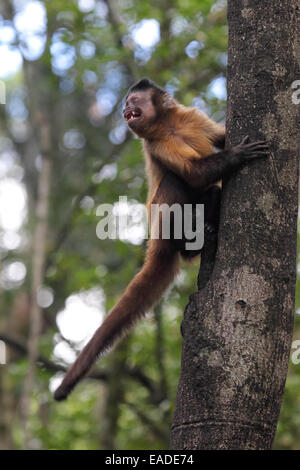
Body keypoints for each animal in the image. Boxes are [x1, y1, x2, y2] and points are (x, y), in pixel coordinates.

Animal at [54, 77, 270, 400]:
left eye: (134, 101)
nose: (125, 109)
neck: (169, 125)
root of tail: (157, 243)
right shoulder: (154, 144)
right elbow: (192, 174)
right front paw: (237, 156)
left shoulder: (192, 117)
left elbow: (217, 141)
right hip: (165, 227)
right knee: (173, 181)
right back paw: (191, 244)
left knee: (212, 192)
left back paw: (206, 231)